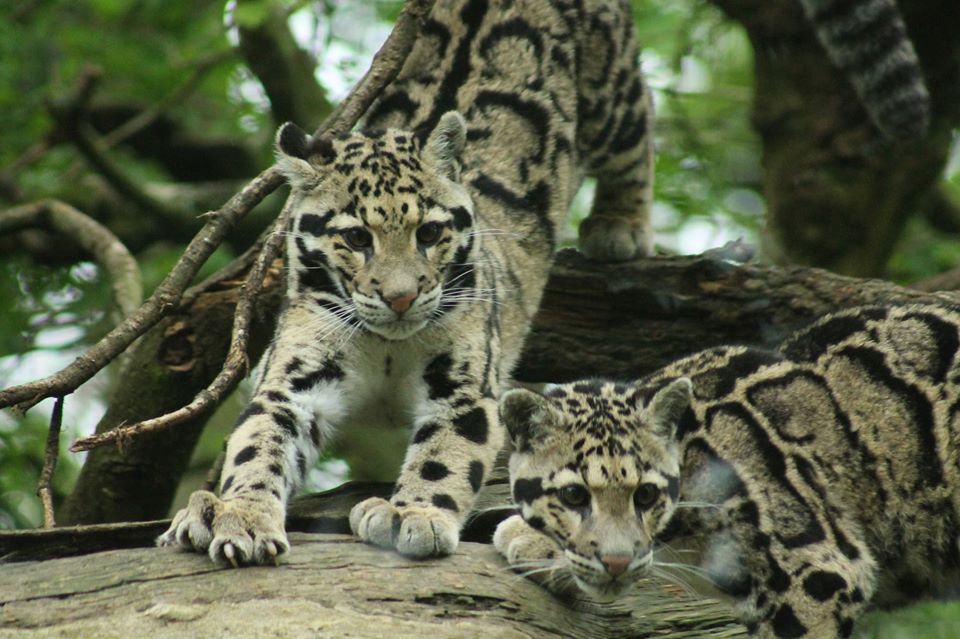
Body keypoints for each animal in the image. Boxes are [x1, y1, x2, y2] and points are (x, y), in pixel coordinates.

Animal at [157, 0, 654, 566]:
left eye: (430, 232)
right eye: (356, 237)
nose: (400, 297)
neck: (389, 349)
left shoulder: (465, 386)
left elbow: (445, 453)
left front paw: (413, 513)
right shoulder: (297, 376)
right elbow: (259, 443)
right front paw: (242, 514)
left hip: (609, 91)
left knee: (638, 127)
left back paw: (620, 225)